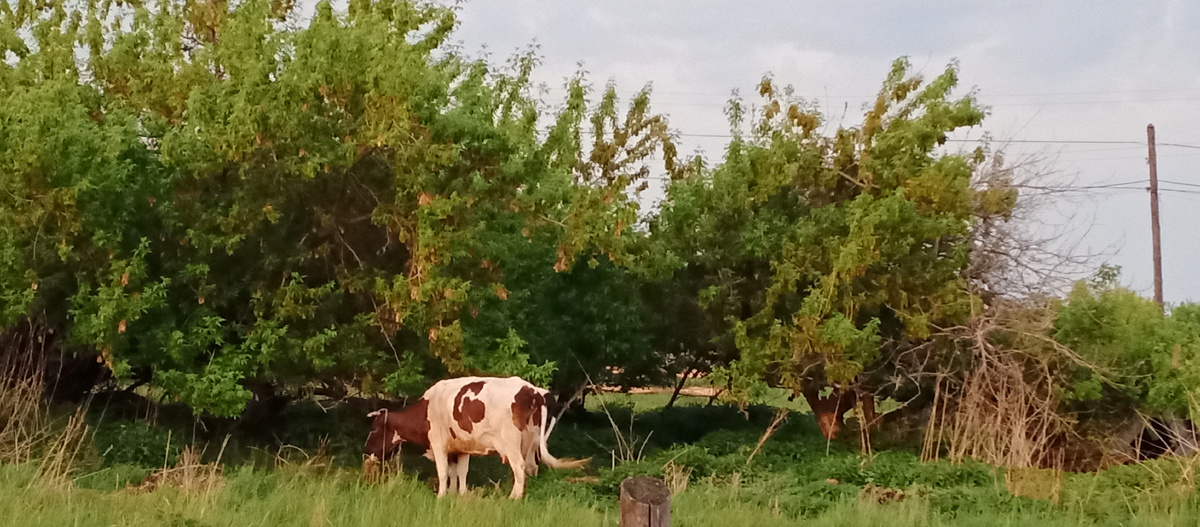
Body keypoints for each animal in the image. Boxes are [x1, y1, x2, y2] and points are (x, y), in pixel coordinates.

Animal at [364, 376, 588, 499]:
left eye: (374, 429)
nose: (366, 451)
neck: (428, 408)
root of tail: (533, 390)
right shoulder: (461, 447)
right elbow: (459, 472)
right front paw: (458, 494)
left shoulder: (438, 444)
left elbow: (443, 472)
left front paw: (441, 496)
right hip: (530, 441)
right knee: (530, 468)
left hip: (511, 441)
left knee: (519, 467)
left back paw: (513, 497)